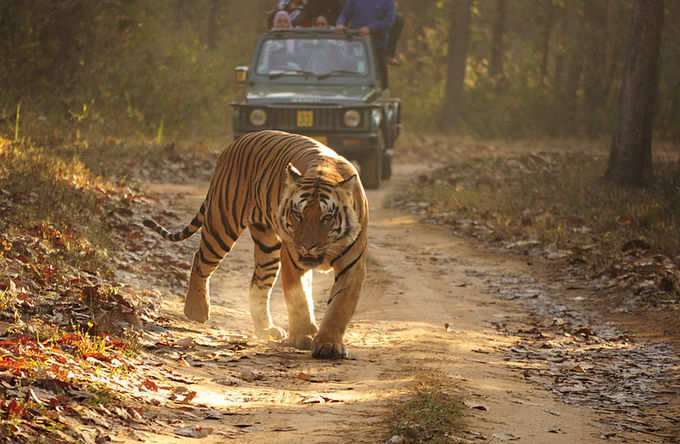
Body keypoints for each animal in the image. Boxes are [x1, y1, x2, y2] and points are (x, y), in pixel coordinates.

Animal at [142, 130, 366, 360]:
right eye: (298, 215)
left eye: (327, 218)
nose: (307, 246)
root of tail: (234, 144)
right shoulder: (292, 259)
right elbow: (299, 299)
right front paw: (303, 336)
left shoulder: (352, 265)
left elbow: (340, 306)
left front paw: (328, 345)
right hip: (222, 224)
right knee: (200, 260)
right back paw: (197, 310)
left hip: (267, 247)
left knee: (257, 285)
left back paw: (266, 329)